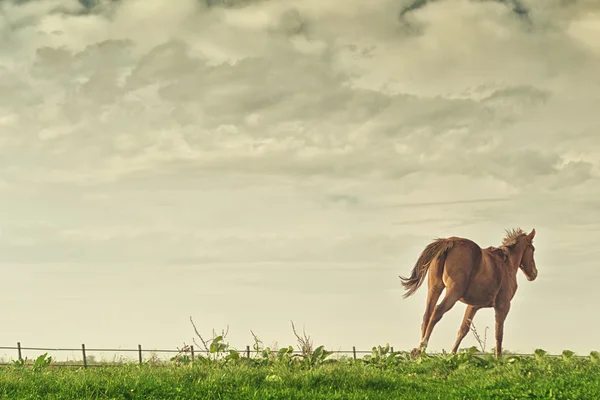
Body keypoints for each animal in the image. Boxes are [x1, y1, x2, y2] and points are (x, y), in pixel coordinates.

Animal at [398, 230, 540, 358]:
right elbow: (499, 333)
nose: (534, 273)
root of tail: (450, 241)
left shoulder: (473, 306)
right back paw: (421, 349)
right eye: (532, 249)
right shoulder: (503, 306)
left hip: (434, 288)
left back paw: (418, 352)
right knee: (437, 312)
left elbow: (463, 330)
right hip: (453, 292)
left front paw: (452, 354)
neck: (506, 264)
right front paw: (498, 359)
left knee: (427, 315)